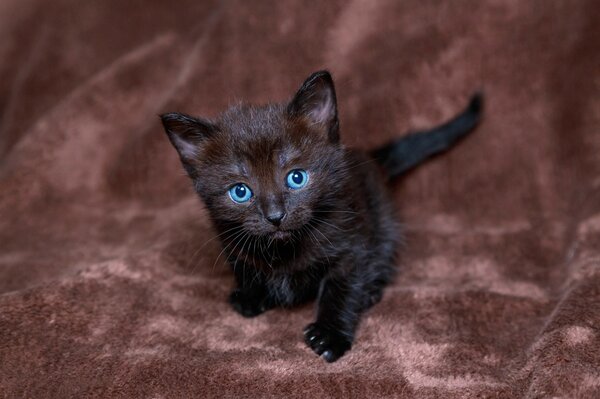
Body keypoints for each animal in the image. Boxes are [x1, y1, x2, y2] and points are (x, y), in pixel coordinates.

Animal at [161, 71, 482, 362]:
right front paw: (251, 295)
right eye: (240, 192)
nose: (275, 216)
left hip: (383, 218)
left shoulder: (351, 244)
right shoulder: (230, 239)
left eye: (297, 177)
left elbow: (341, 289)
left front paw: (331, 334)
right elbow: (244, 264)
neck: (285, 251)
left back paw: (371, 291)